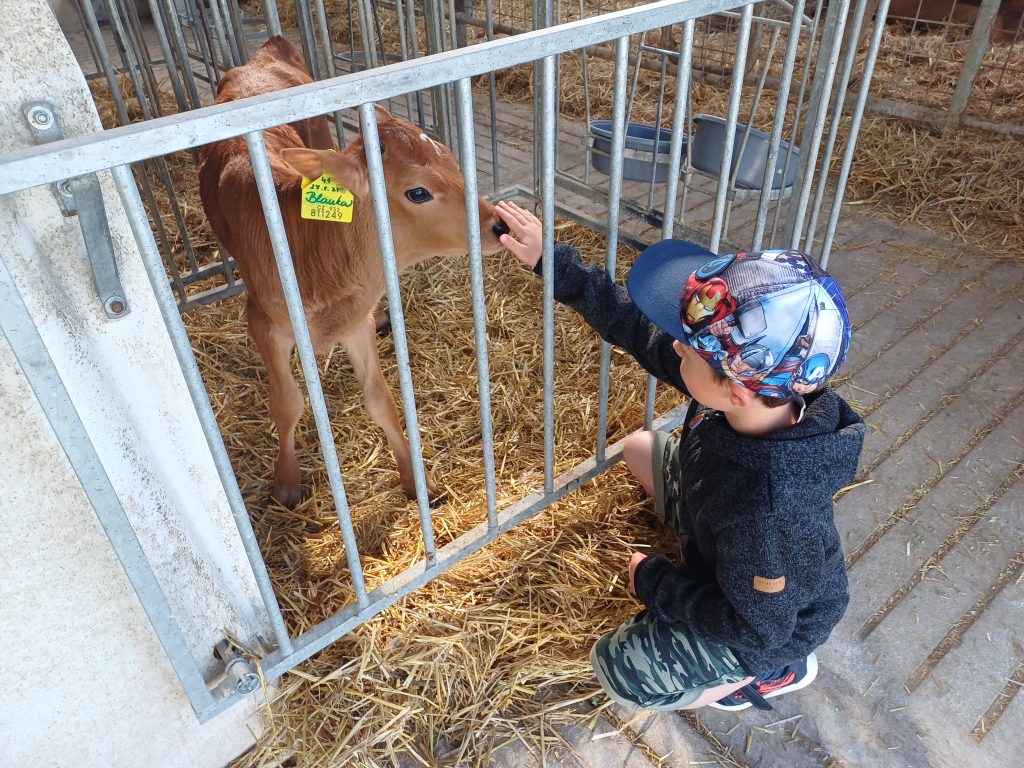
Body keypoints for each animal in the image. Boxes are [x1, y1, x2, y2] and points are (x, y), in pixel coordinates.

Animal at [198, 36, 509, 508]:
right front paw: (286, 483)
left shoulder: (354, 322)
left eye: (455, 163)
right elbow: (287, 402)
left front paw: (418, 482)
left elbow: (381, 400)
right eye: (418, 192)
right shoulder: (262, 322)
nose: (500, 225)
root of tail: (263, 54)